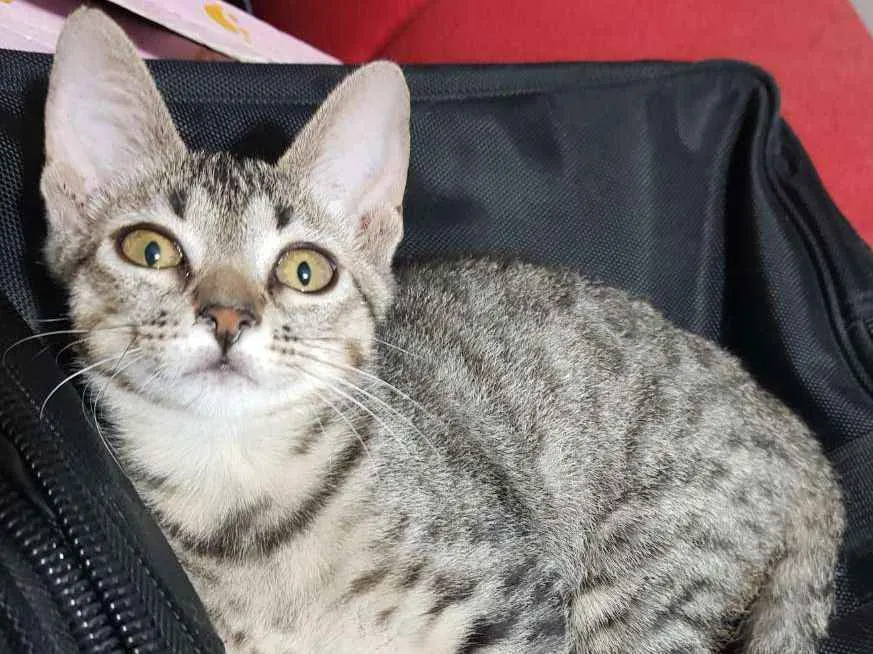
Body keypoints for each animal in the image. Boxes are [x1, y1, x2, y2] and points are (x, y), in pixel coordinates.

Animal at [40, 8, 843, 654]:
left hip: (650, 572)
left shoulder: (515, 596)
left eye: (305, 270)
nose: (229, 316)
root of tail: (791, 429)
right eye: (150, 250)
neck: (242, 502)